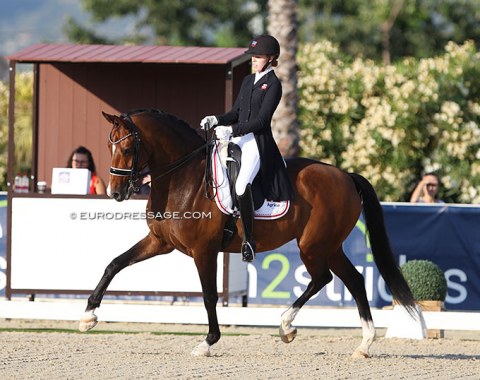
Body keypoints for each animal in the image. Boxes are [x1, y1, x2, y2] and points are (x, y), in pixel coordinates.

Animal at [79, 108, 416, 358]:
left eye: (127, 148)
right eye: (110, 146)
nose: (115, 192)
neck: (183, 180)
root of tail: (345, 175)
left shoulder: (204, 251)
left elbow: (209, 295)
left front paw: (208, 341)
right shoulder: (159, 242)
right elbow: (114, 264)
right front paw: (88, 316)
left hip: (314, 245)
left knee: (324, 278)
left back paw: (287, 326)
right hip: (329, 246)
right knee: (353, 280)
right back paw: (362, 343)